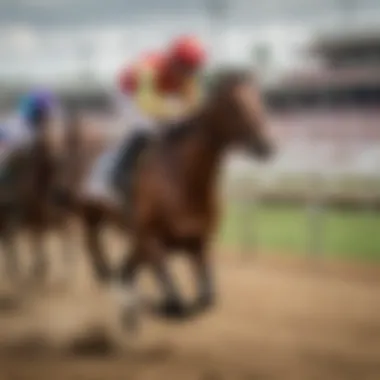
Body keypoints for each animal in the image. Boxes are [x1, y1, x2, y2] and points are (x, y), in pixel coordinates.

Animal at [78, 69, 274, 330]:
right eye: (234, 105)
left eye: (259, 99)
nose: (267, 145)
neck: (184, 181)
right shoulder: (151, 239)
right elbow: (177, 304)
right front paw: (163, 307)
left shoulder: (197, 242)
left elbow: (206, 299)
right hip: (94, 216)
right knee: (100, 254)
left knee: (124, 270)